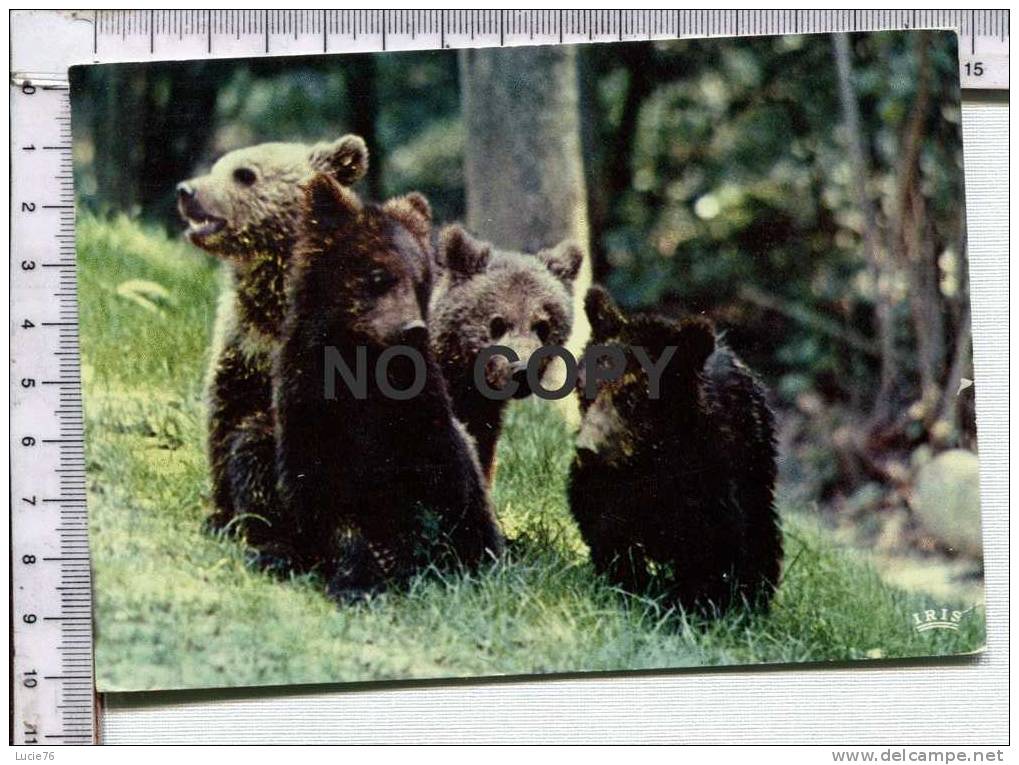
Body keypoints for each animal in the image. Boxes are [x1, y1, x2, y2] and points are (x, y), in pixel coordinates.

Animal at [177, 133, 368, 550]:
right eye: (217, 165)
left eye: (244, 174)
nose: (187, 191)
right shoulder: (242, 344)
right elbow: (225, 413)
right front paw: (219, 515)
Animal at [275, 175, 505, 598]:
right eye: (378, 276)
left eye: (420, 281)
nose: (411, 329)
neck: (362, 367)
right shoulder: (310, 409)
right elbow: (325, 499)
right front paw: (356, 575)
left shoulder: (420, 420)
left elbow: (440, 490)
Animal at [566, 287, 778, 615]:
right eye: (585, 387)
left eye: (631, 398)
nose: (586, 448)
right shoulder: (607, 490)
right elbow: (608, 532)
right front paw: (626, 586)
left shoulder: (709, 488)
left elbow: (711, 551)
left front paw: (693, 606)